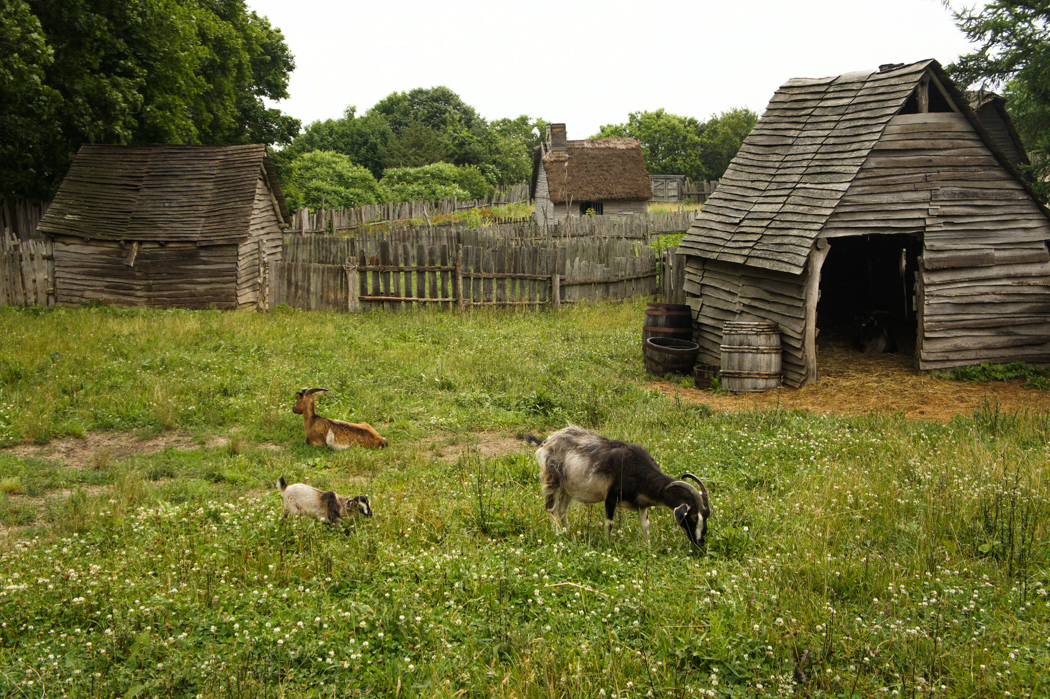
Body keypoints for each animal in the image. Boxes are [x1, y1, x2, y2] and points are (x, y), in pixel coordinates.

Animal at [529, 421, 709, 545]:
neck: (636, 469)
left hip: (568, 489)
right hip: (552, 480)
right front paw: (607, 544)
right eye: (693, 516)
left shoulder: (641, 504)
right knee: (552, 509)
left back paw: (567, 532)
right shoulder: (611, 497)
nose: (700, 542)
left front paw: (647, 547)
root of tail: (547, 441)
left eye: (707, 516)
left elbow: (646, 525)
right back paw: (557, 534)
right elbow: (610, 523)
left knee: (562, 510)